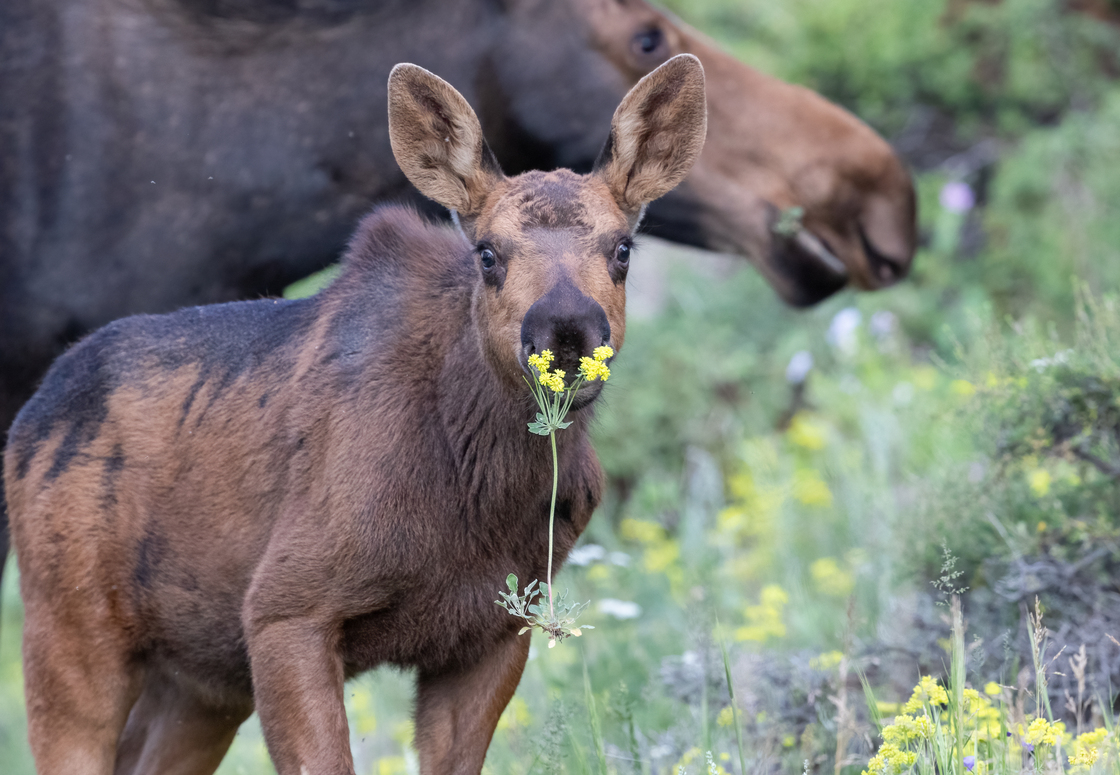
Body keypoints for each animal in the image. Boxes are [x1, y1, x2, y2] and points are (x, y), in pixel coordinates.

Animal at [4, 55, 707, 775]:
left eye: (623, 249)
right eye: (487, 252)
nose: (566, 328)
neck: (473, 489)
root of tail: (30, 415)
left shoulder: (496, 626)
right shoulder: (285, 605)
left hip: (202, 677)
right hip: (68, 623)